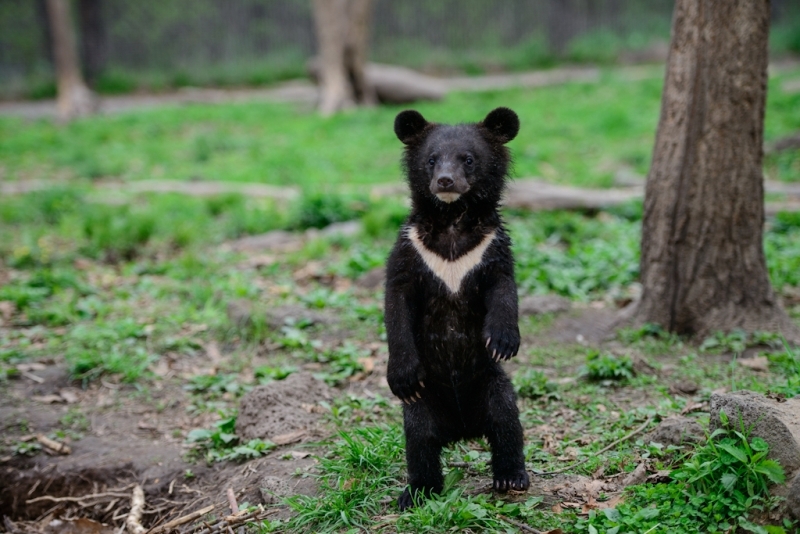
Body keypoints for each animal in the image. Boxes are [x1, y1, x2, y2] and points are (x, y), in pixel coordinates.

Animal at [384, 107, 529, 510]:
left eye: (468, 159)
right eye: (432, 160)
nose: (445, 181)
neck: (451, 223)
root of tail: (463, 430)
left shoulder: (492, 247)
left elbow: (504, 289)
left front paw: (503, 342)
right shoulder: (410, 250)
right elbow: (395, 303)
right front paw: (401, 376)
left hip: (492, 383)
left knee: (506, 422)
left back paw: (511, 477)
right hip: (424, 402)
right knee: (419, 441)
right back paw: (417, 491)